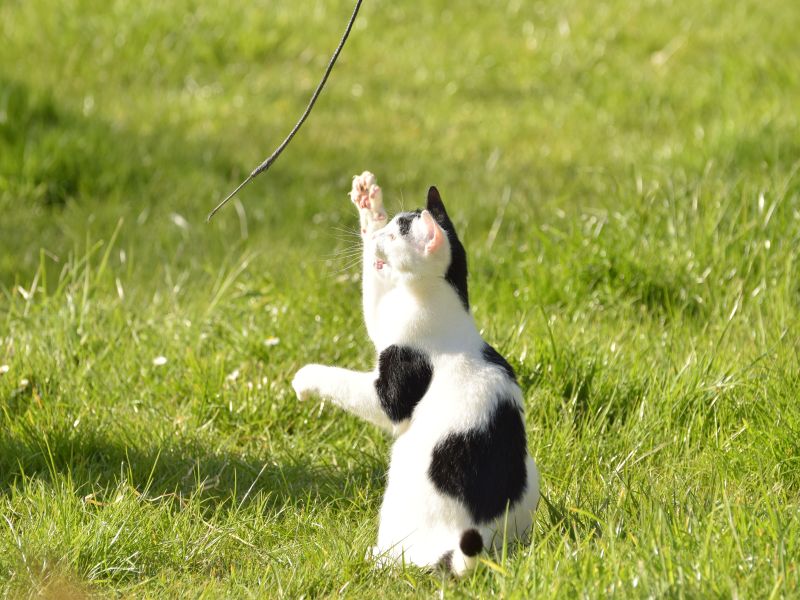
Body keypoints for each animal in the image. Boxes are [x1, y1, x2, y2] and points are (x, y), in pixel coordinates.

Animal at [290, 171, 540, 576]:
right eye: (390, 225)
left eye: (395, 236)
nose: (379, 235)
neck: (444, 305)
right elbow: (372, 294)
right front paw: (368, 203)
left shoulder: (395, 379)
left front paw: (305, 377)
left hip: (400, 488)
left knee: (402, 558)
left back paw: (371, 558)